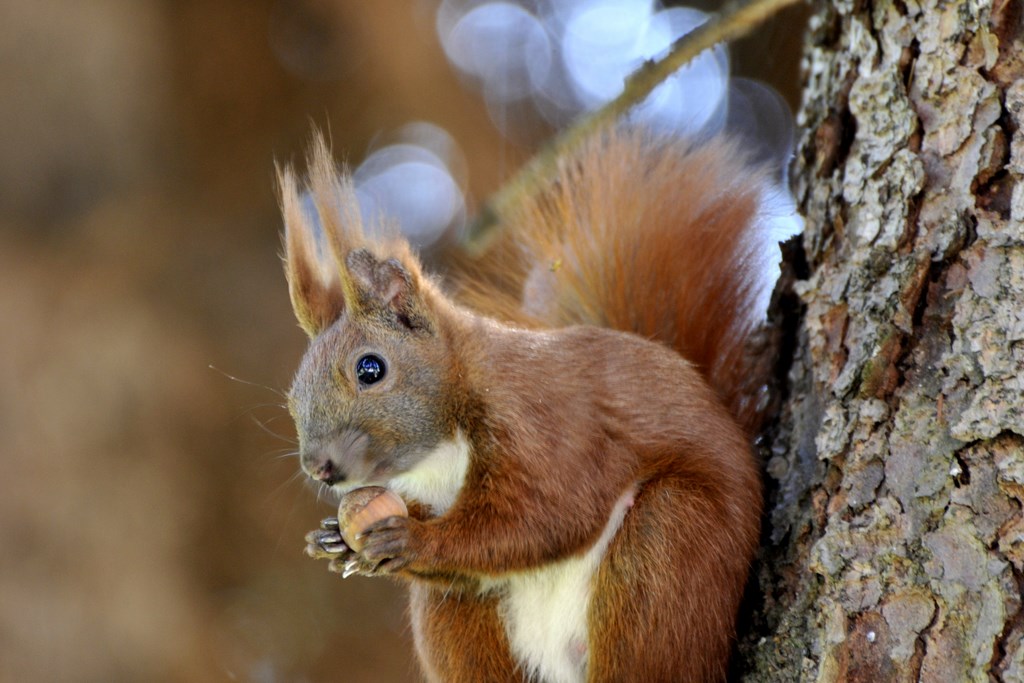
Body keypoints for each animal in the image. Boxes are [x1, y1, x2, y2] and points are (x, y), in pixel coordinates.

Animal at [280, 129, 774, 683]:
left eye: (370, 369)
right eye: (291, 400)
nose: (319, 467)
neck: (442, 452)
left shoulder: (546, 422)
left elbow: (546, 516)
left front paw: (412, 540)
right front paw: (337, 540)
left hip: (671, 552)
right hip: (458, 621)